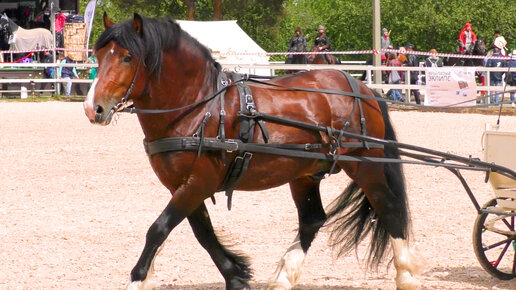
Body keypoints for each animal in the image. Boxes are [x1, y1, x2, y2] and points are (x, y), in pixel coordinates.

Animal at [84, 13, 424, 290]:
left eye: (128, 57)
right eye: (98, 54)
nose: (92, 108)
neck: (201, 107)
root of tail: (360, 87)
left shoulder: (198, 182)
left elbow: (159, 229)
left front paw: (137, 279)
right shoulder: (182, 185)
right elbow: (203, 233)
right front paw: (236, 275)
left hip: (367, 165)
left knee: (389, 208)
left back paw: (406, 275)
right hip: (304, 173)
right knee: (313, 219)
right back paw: (284, 276)